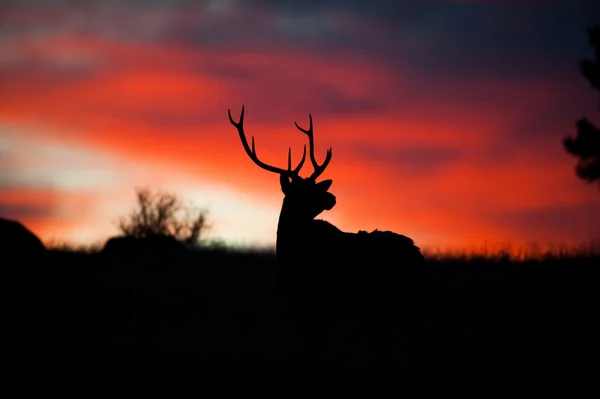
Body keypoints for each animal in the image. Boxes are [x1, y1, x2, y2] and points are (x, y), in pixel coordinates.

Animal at [227, 106, 424, 382]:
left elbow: (313, 352)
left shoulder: (317, 302)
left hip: (400, 302)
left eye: (315, 186)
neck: (290, 254)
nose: (332, 197)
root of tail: (418, 255)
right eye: (303, 191)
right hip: (387, 307)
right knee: (388, 347)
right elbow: (310, 349)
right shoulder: (302, 304)